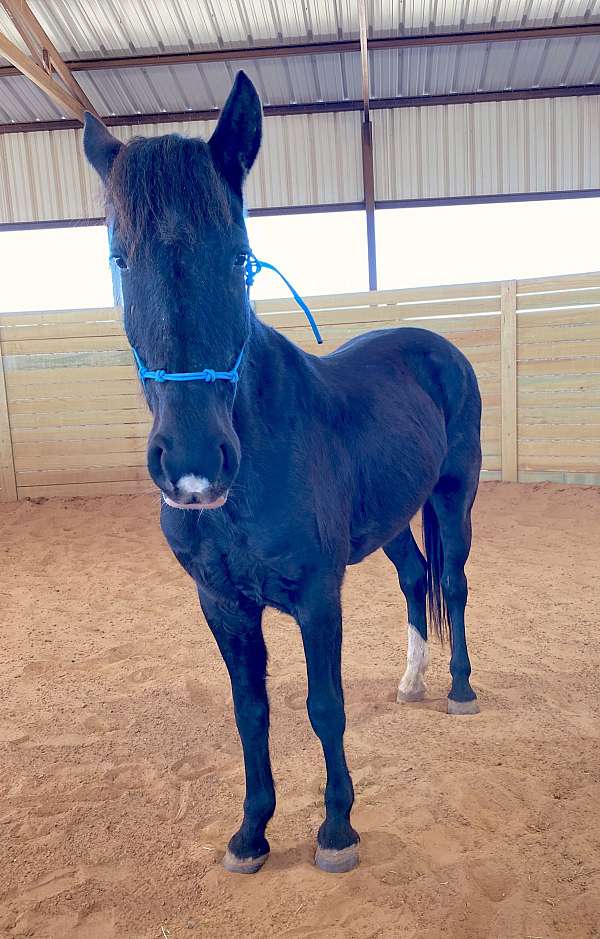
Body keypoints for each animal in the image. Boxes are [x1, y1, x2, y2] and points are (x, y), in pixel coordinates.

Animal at [83, 71, 482, 876]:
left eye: (239, 257)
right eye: (120, 258)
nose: (193, 464)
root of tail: (438, 348)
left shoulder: (317, 596)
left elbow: (323, 706)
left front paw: (336, 829)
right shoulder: (223, 606)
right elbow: (251, 711)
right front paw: (252, 832)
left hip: (455, 496)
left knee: (451, 583)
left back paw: (457, 688)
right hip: (394, 519)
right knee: (414, 577)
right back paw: (413, 681)